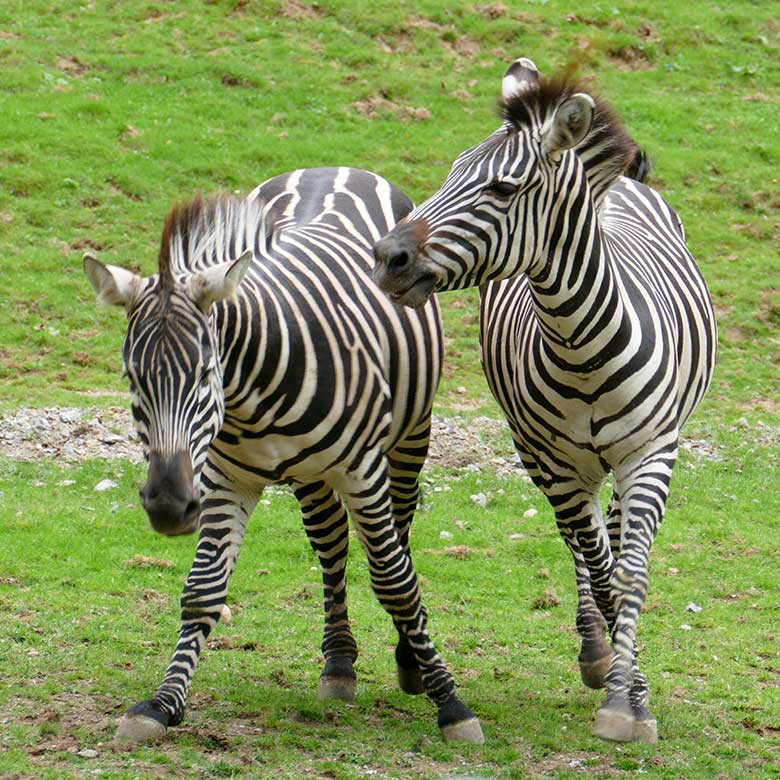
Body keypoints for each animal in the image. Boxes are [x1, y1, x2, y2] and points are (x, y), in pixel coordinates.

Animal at [80, 166, 482, 744]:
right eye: (131, 378)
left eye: (205, 372)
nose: (168, 506)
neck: (250, 396)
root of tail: (333, 168)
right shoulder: (222, 481)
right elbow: (202, 591)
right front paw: (162, 703)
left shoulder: (361, 470)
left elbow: (395, 581)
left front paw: (450, 702)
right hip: (309, 474)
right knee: (331, 545)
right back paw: (338, 665)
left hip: (409, 438)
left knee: (398, 536)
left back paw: (409, 661)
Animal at [374, 56, 720, 744]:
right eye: (451, 171)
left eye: (504, 190)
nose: (388, 256)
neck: (582, 346)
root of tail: (623, 185)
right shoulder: (557, 465)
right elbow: (604, 570)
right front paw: (625, 694)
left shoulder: (651, 453)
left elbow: (631, 571)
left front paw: (629, 703)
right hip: (539, 454)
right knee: (581, 540)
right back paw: (596, 651)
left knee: (612, 533)